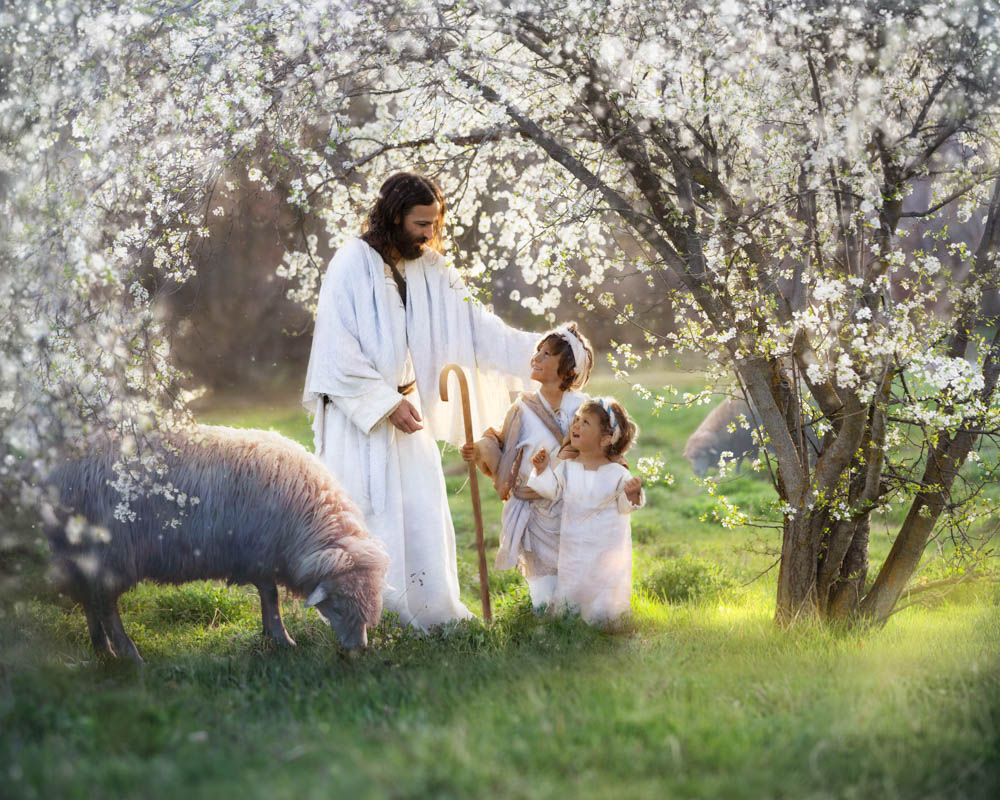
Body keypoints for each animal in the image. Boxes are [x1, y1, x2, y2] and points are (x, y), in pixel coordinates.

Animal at [47, 424, 390, 664]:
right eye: (337, 605)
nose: (357, 650)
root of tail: (62, 473)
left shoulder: (258, 554)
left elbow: (267, 595)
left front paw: (271, 636)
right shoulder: (260, 550)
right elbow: (271, 596)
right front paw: (282, 639)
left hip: (84, 556)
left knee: (89, 600)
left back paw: (102, 649)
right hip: (111, 552)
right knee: (105, 605)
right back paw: (129, 653)